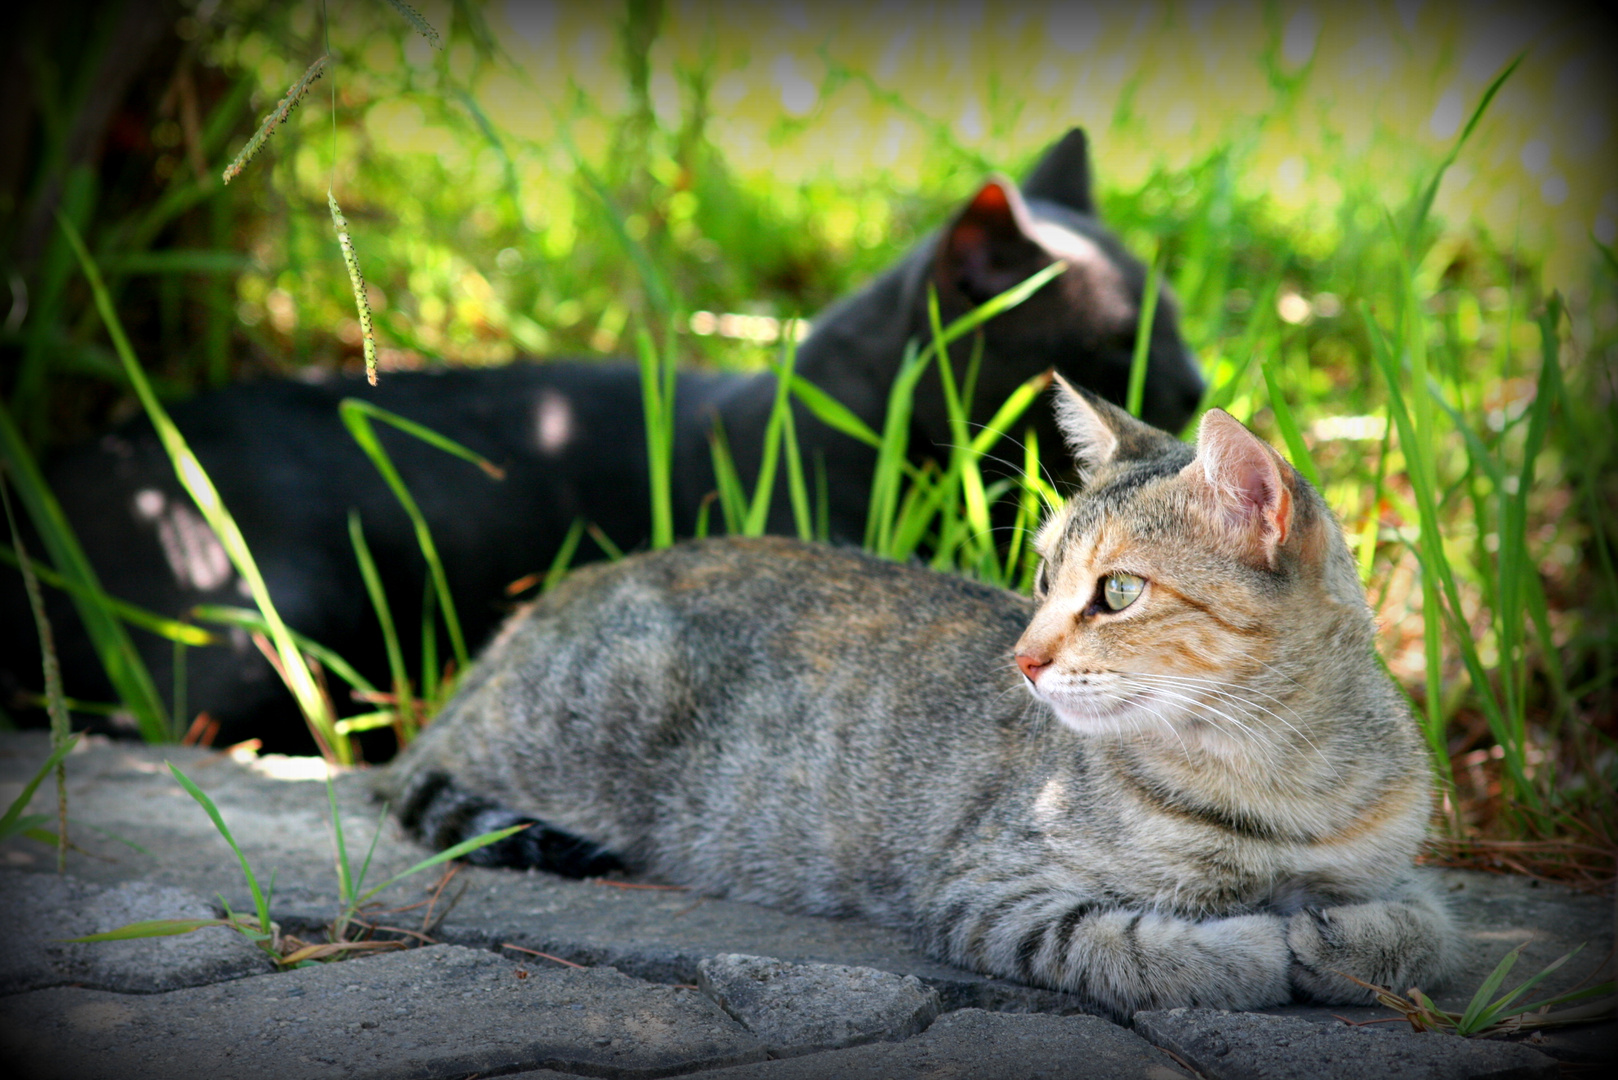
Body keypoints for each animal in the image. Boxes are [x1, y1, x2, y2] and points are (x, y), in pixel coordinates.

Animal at [385, 382, 1462, 1023]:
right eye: (1042, 578)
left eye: (1117, 592)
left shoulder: (1400, 868)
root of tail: (523, 621)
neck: (1271, 778)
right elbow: (1142, 949)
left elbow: (1423, 929)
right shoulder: (987, 891)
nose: (1022, 660)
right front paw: (1255, 946)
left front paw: (1338, 936)